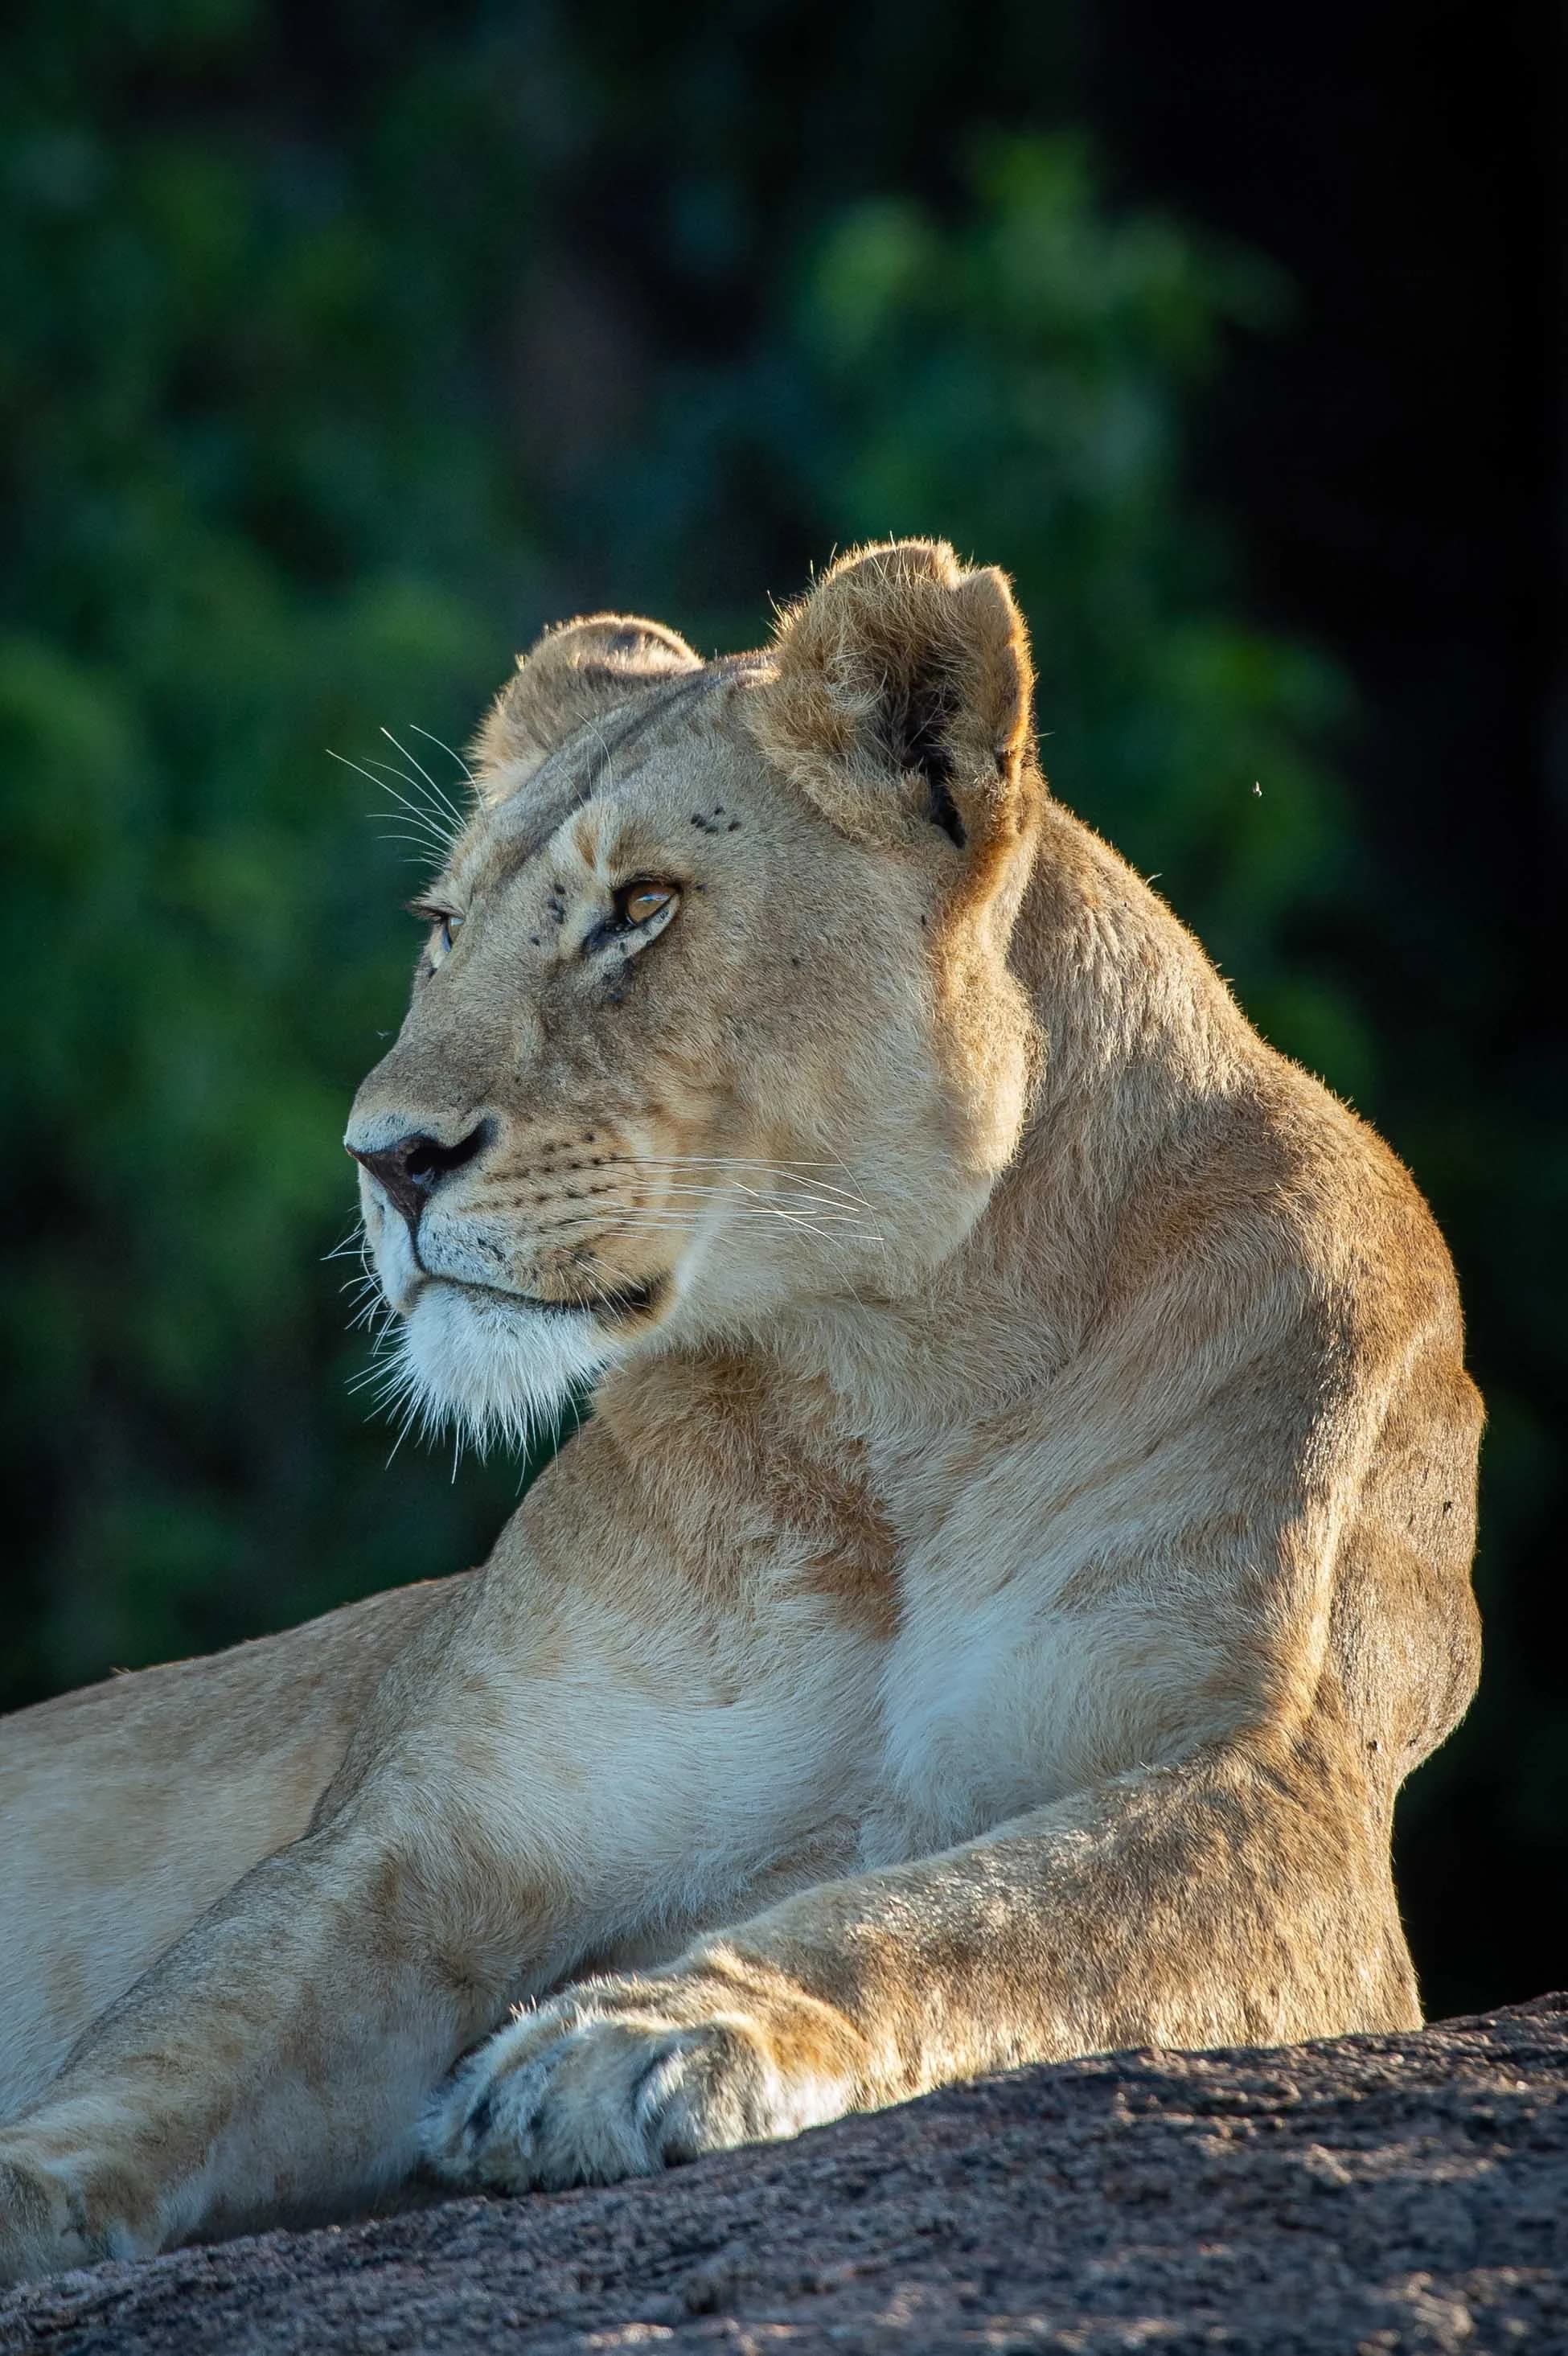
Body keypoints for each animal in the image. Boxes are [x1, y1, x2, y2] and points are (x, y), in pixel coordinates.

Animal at [0, 541, 1481, 2283]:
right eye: (443, 927)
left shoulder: (1285, 1788)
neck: (892, 1390)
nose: (386, 1158)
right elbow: (193, 2034)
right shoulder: (436, 1836)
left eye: (640, 908)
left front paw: (634, 2035)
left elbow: (982, 1913)